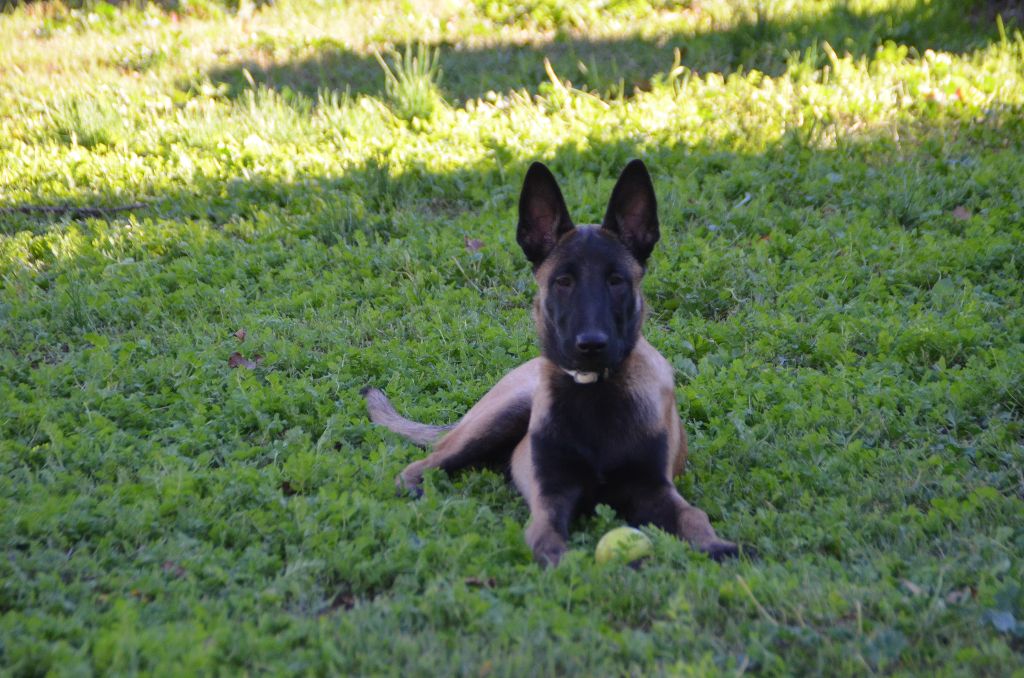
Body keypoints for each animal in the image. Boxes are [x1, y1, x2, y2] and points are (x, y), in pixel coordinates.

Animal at [364, 161, 741, 565]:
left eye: (616, 280)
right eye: (563, 281)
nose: (591, 344)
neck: (594, 395)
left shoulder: (654, 488)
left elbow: (693, 515)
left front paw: (717, 545)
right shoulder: (551, 495)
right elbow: (545, 535)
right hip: (502, 416)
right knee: (424, 463)